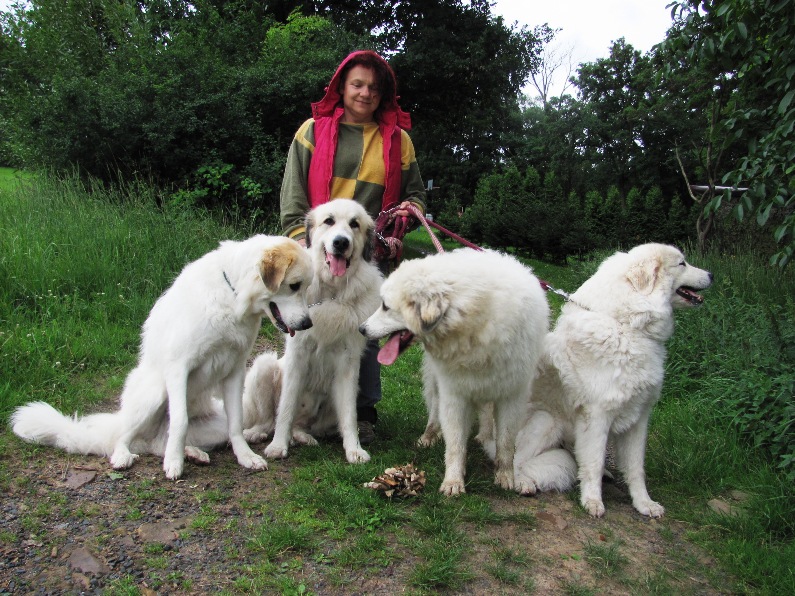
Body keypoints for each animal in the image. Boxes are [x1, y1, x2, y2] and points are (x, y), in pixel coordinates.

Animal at [11, 234, 314, 480]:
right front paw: (174, 465)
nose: (307, 323)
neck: (233, 295)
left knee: (160, 441)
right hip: (154, 392)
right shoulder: (179, 368)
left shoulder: (235, 371)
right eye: (294, 286)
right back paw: (126, 456)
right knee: (128, 436)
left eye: (305, 287)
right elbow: (179, 421)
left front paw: (246, 457)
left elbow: (236, 423)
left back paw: (191, 453)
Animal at [255, 200, 380, 466]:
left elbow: (349, 416)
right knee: (268, 420)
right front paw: (278, 446)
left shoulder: (348, 363)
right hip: (264, 366)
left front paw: (354, 450)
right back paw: (258, 434)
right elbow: (286, 407)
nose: (341, 242)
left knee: (302, 427)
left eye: (354, 224)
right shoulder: (297, 355)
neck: (331, 293)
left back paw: (302, 437)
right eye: (329, 221)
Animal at [360, 247, 548, 494]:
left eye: (385, 306)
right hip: (437, 384)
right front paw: (453, 482)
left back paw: (483, 436)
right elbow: (456, 443)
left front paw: (506, 476)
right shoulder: (455, 394)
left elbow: (506, 443)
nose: (361, 329)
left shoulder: (512, 395)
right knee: (435, 412)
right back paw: (429, 436)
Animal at [510, 243, 716, 516]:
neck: (627, 326)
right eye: (682, 263)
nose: (712, 275)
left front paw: (644, 504)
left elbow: (636, 468)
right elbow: (594, 463)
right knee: (515, 459)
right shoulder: (597, 415)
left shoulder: (639, 419)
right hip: (545, 420)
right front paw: (592, 502)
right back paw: (521, 482)